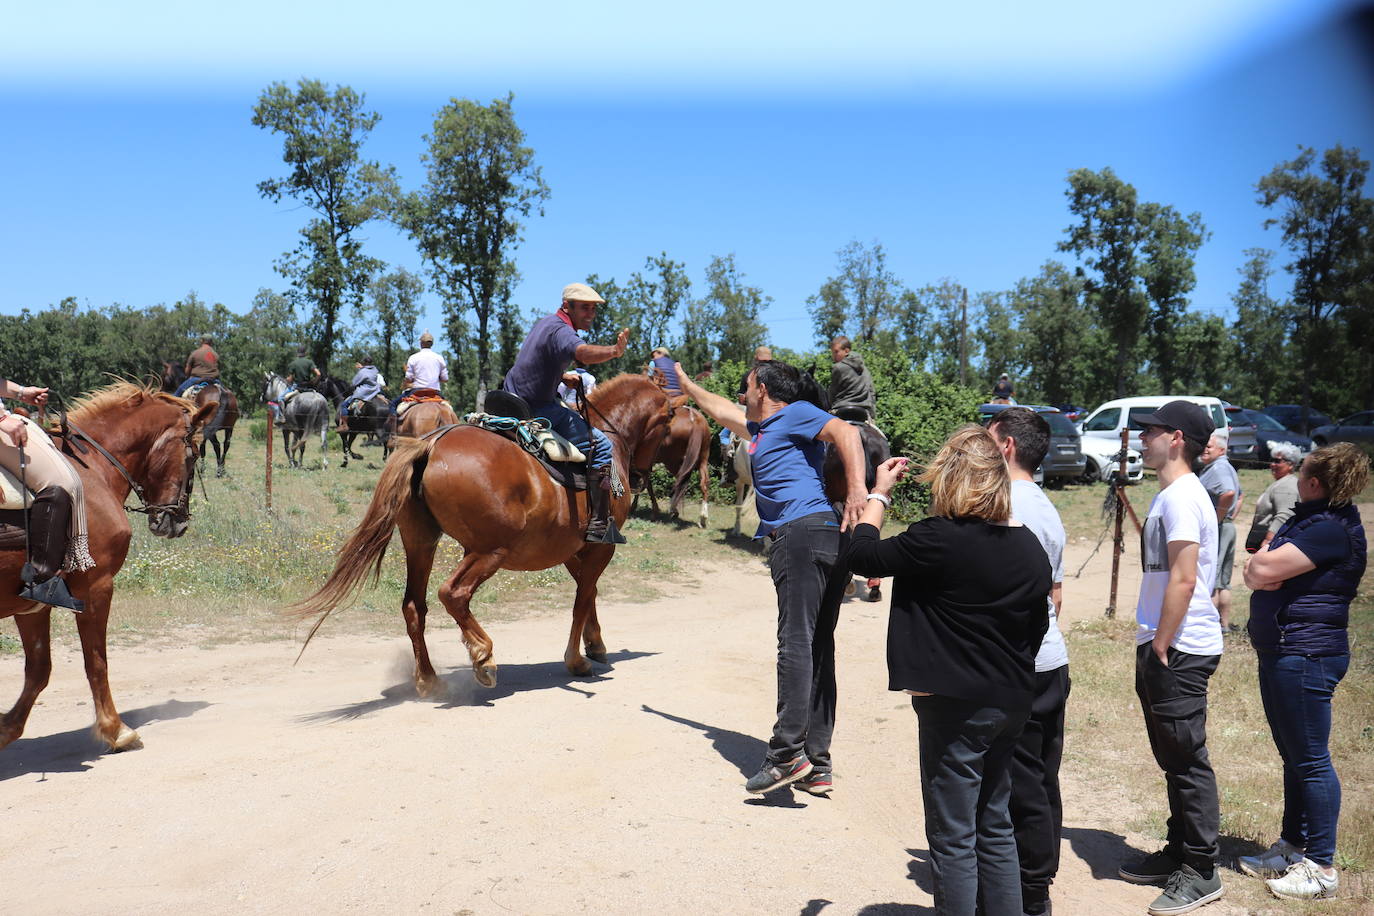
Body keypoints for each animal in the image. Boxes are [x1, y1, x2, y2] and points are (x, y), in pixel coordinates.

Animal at [0, 384, 214, 752]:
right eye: (194, 455)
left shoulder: (32, 605)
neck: (92, 470)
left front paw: (6, 728)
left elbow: (39, 670)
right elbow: (96, 661)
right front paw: (116, 729)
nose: (178, 522)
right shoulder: (96, 587)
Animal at [292, 376, 673, 692]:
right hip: (490, 551)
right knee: (453, 594)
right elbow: (582, 599)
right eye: (669, 419)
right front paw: (577, 659)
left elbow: (587, 591)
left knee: (415, 605)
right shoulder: (600, 548)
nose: (640, 477)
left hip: (422, 542)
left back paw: (429, 679)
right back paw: (483, 656)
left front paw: (595, 644)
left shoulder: (571, 550)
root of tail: (431, 444)